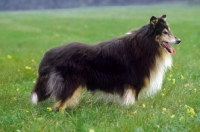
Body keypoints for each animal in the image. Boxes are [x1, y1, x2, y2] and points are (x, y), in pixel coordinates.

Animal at [31, 14, 181, 112]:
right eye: (164, 32)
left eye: (169, 30)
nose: (179, 40)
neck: (144, 44)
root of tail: (51, 53)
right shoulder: (134, 83)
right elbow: (132, 101)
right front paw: (131, 112)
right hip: (69, 83)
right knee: (59, 104)